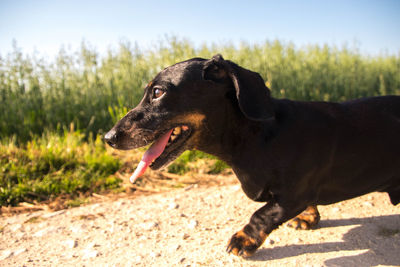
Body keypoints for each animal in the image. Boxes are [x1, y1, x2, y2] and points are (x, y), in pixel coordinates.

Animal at [104, 54, 398, 258]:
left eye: (157, 92)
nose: (108, 137)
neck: (262, 136)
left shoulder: (293, 195)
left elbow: (262, 214)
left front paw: (243, 239)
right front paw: (308, 217)